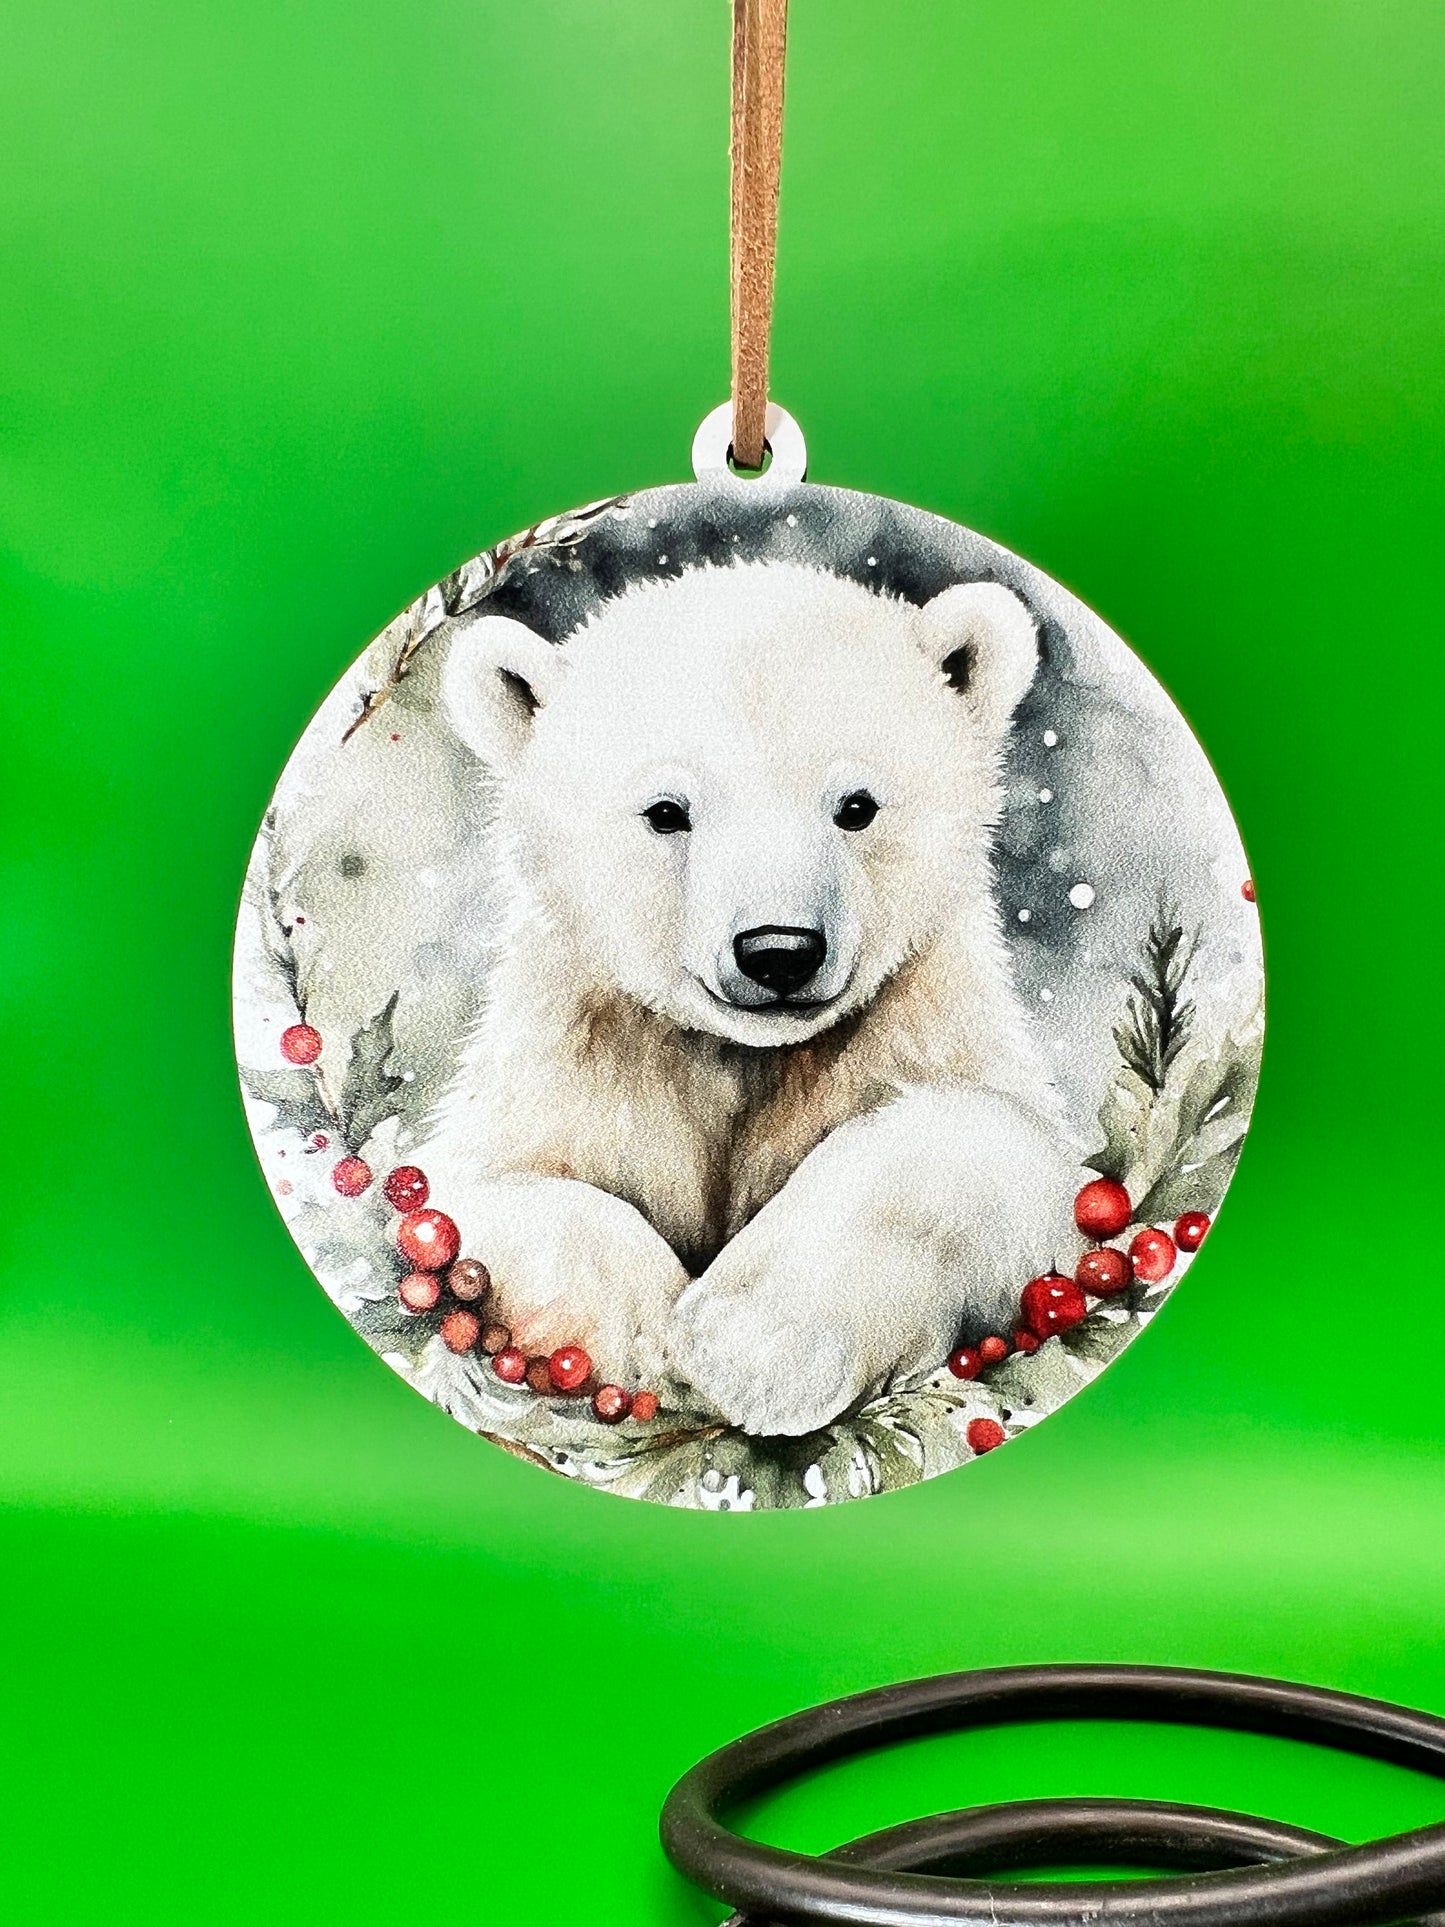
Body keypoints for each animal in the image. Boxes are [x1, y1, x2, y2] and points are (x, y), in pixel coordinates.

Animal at [419, 558, 1077, 1437]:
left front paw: (752, 1344)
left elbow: (984, 1142)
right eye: (666, 811)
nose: (778, 950)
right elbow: (476, 1195)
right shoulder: (577, 1064)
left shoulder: (918, 1032)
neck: (744, 1059)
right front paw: (650, 1336)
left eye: (856, 806)